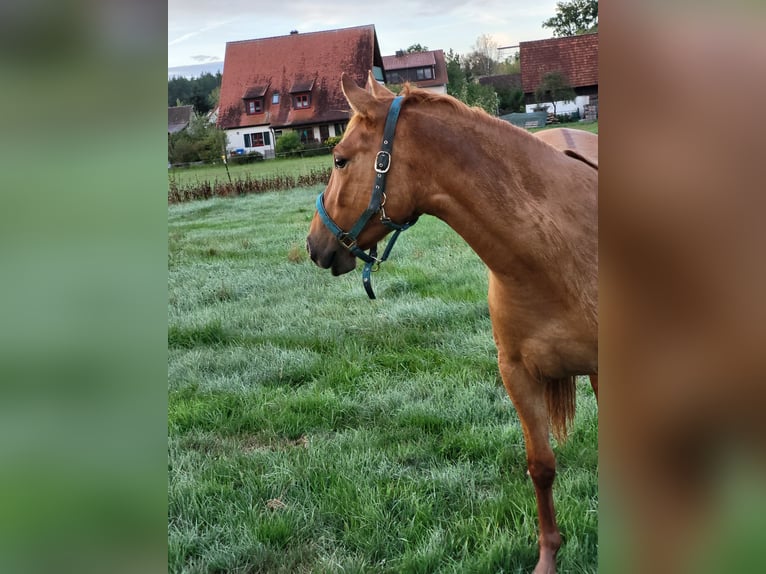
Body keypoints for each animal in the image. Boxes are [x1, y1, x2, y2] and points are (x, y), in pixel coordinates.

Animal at [306, 71, 598, 574]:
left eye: (340, 159)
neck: (554, 253)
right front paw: (547, 557)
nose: (313, 243)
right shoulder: (517, 374)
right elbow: (540, 466)